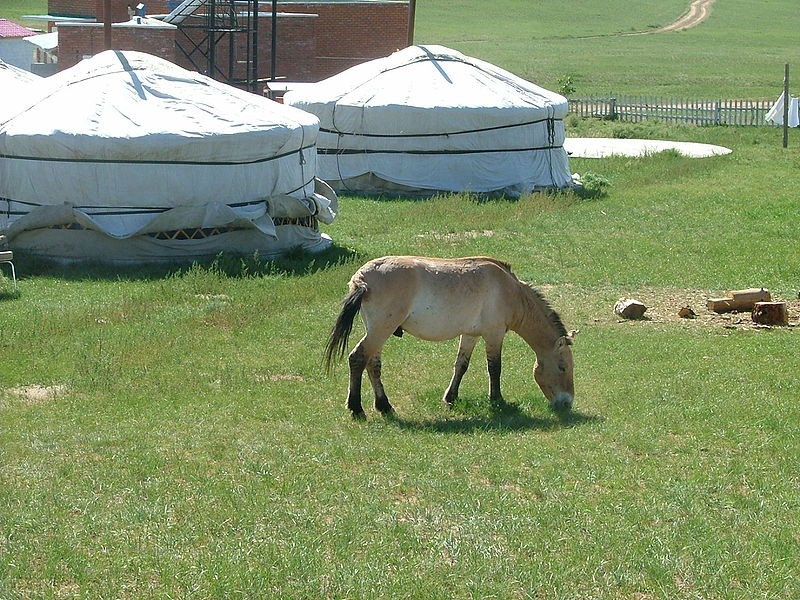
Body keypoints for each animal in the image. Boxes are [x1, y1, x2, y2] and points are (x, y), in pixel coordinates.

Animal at [324, 255, 576, 420]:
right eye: (562, 367)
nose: (567, 402)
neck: (509, 290)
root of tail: (362, 279)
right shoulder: (493, 335)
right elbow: (495, 368)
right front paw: (497, 400)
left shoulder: (470, 335)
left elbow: (461, 365)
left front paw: (450, 397)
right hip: (380, 330)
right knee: (358, 358)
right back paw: (356, 408)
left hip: (378, 332)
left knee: (373, 365)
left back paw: (384, 406)